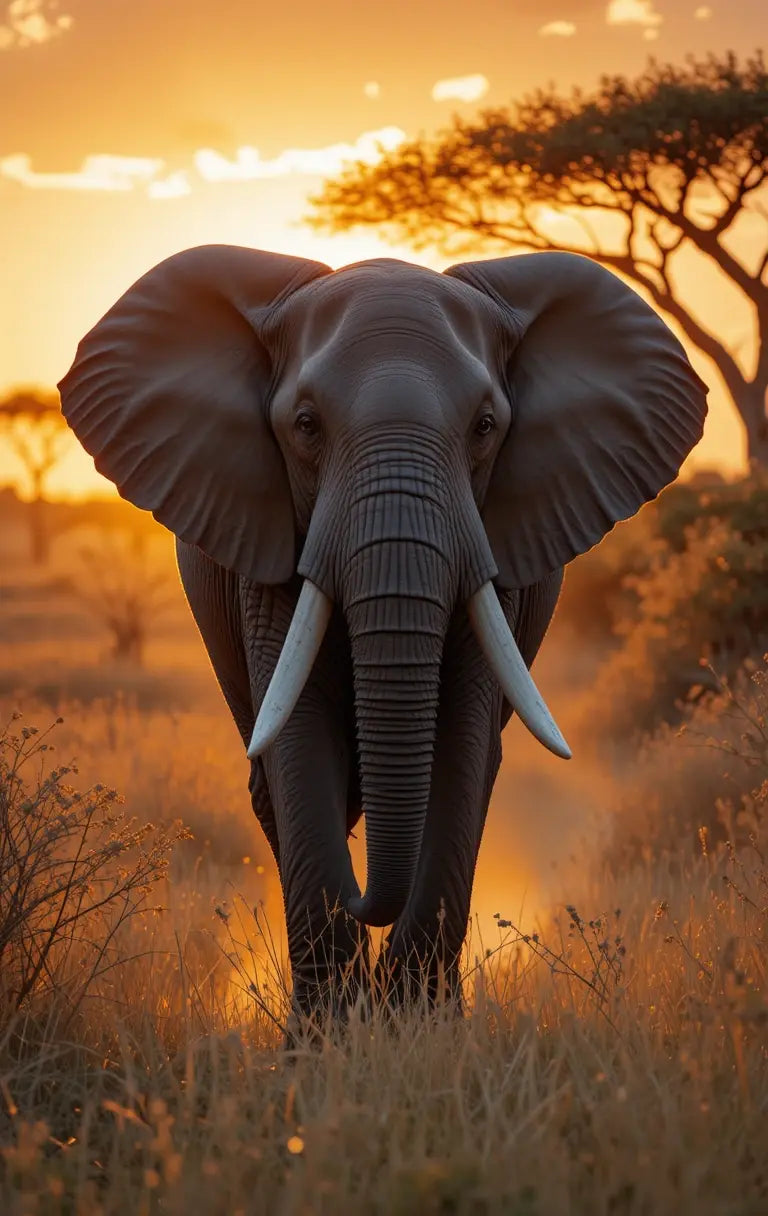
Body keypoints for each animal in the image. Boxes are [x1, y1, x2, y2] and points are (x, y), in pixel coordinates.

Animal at [58, 244, 707, 1019]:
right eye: (305, 424)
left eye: (486, 426)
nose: (366, 898)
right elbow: (301, 735)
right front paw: (329, 1035)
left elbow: (460, 741)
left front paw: (418, 1025)